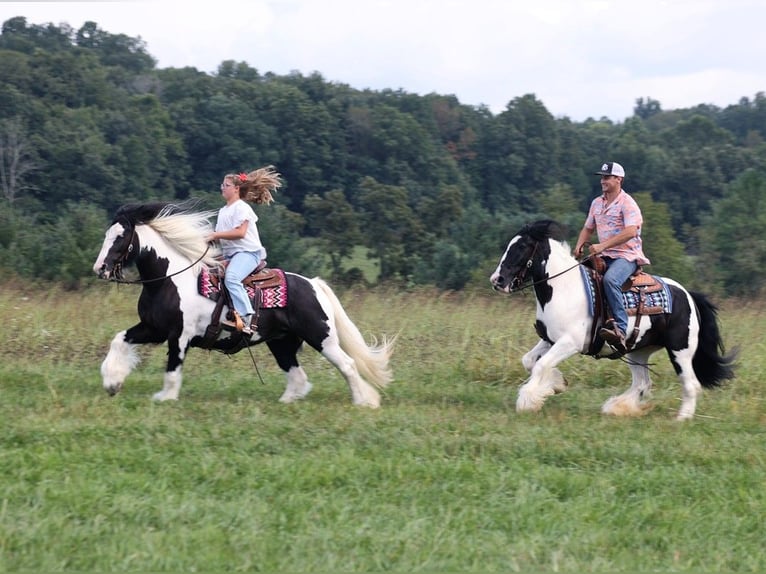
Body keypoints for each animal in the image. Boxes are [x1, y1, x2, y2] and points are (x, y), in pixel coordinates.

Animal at [91, 202, 396, 410]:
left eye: (120, 237)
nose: (100, 269)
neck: (168, 279)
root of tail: (313, 284)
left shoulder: (179, 335)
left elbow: (173, 367)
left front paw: (165, 397)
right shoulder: (152, 328)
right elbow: (119, 340)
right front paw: (112, 383)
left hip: (321, 337)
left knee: (347, 364)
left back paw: (363, 401)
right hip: (282, 342)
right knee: (297, 376)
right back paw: (286, 401)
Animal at [492, 218, 736, 420]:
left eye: (521, 247)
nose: (497, 280)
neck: (563, 289)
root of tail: (688, 295)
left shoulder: (570, 342)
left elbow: (541, 365)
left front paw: (528, 401)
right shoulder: (549, 339)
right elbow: (529, 361)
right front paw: (557, 384)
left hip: (680, 351)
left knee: (690, 384)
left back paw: (681, 419)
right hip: (638, 351)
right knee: (642, 383)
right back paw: (618, 407)